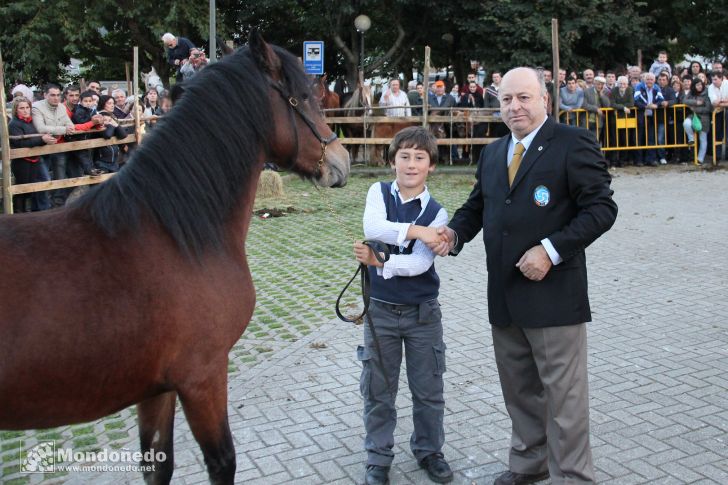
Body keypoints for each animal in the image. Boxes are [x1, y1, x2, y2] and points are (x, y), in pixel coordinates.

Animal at [0, 31, 350, 484]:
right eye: (306, 96)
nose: (341, 161)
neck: (172, 234)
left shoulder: (155, 389)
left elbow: (157, 464)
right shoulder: (202, 377)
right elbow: (222, 460)